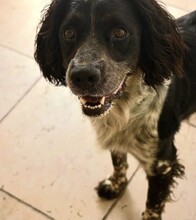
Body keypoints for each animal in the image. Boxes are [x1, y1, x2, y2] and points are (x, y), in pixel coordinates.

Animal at [34, 0, 196, 218]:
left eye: (120, 32)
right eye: (68, 33)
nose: (82, 76)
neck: (127, 105)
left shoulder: (163, 164)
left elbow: (152, 206)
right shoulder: (115, 134)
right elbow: (118, 161)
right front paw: (115, 185)